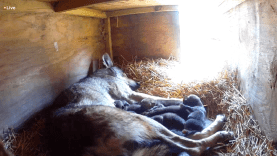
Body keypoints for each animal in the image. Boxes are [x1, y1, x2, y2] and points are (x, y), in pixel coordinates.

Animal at [45, 53, 233, 156]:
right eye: (124, 73)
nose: (138, 83)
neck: (103, 74)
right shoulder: (129, 94)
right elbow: (163, 98)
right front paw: (187, 100)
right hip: (144, 122)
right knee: (193, 144)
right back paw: (221, 130)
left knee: (187, 137)